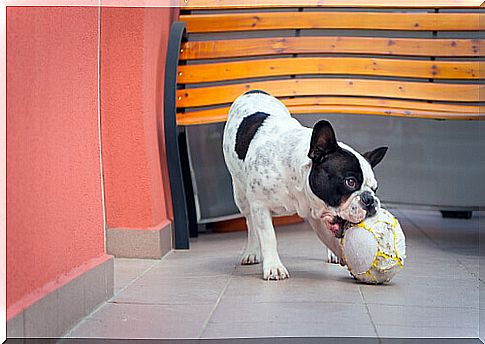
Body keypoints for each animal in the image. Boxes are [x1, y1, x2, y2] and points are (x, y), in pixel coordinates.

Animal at [222, 90, 386, 280]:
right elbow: (268, 236)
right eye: (350, 182)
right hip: (240, 195)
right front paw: (274, 266)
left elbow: (328, 237)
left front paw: (343, 255)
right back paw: (252, 251)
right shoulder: (259, 205)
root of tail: (252, 91)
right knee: (249, 222)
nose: (370, 200)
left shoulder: (315, 213)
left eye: (375, 188)